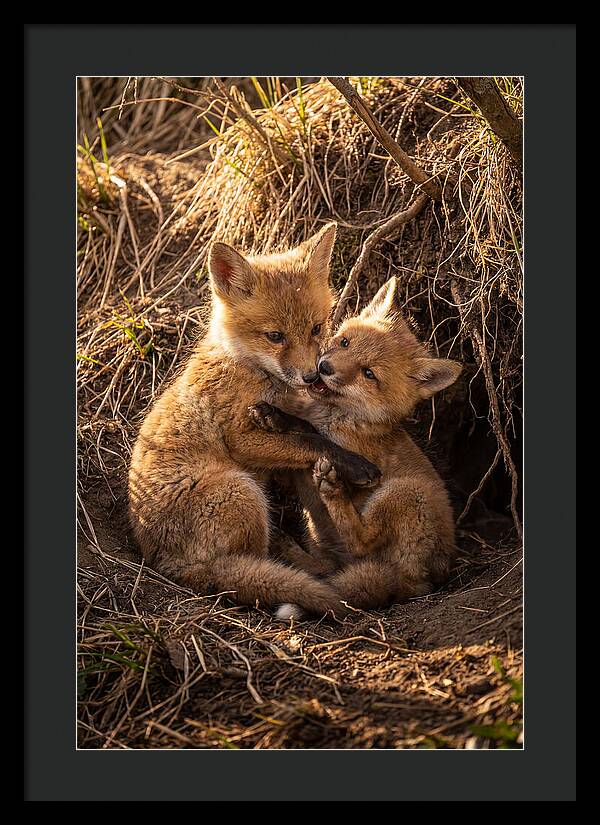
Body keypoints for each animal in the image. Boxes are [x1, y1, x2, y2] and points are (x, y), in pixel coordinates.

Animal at [128, 223, 381, 619]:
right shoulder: (241, 439)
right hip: (241, 490)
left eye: (316, 328)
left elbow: (304, 430)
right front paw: (355, 465)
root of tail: (164, 564)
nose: (312, 376)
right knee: (254, 564)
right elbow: (311, 441)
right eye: (275, 336)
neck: (247, 368)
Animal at [248, 276, 462, 620]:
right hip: (325, 541)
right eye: (346, 342)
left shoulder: (346, 450)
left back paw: (332, 491)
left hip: (404, 493)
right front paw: (274, 414)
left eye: (369, 373)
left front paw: (280, 419)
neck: (337, 416)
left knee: (361, 540)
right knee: (328, 568)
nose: (324, 367)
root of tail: (422, 582)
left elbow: (312, 434)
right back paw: (291, 549)